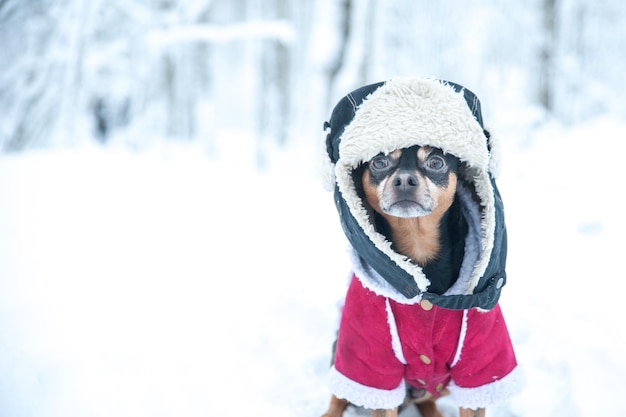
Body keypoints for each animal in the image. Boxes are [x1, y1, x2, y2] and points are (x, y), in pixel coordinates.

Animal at [322, 144, 482, 416]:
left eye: (436, 162)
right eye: (379, 162)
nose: (405, 180)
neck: (418, 248)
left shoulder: (478, 364)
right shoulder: (374, 363)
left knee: (427, 400)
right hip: (344, 354)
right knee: (339, 395)